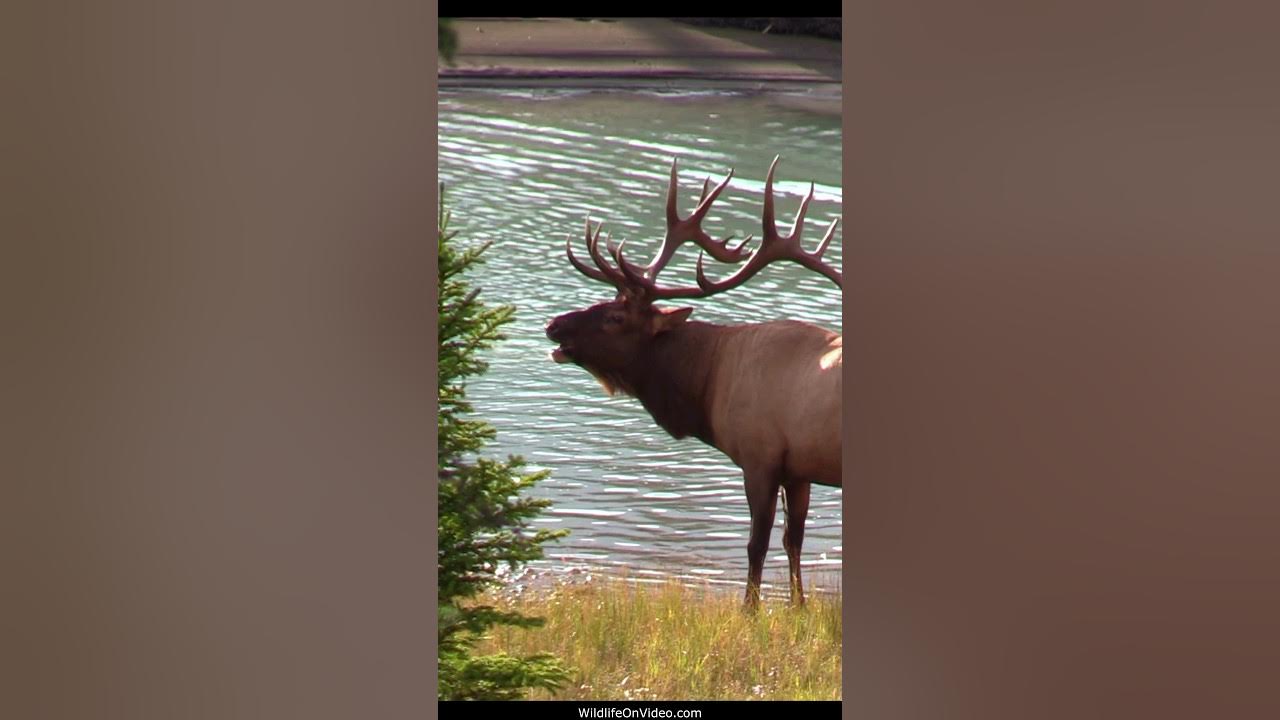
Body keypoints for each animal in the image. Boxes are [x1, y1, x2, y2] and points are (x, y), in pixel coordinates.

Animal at [544, 156, 842, 609]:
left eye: (615, 317)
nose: (554, 326)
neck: (708, 385)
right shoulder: (798, 468)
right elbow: (794, 541)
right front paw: (798, 607)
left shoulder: (760, 456)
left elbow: (756, 545)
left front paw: (750, 610)